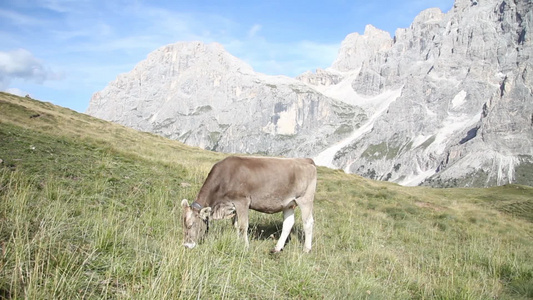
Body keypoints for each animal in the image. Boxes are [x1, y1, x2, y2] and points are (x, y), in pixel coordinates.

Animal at [183, 156, 316, 252]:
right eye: (183, 225)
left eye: (191, 225)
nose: (186, 245)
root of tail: (306, 160)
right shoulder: (233, 205)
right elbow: (236, 225)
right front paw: (237, 242)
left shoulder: (242, 201)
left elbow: (243, 226)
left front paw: (245, 247)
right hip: (289, 204)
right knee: (288, 224)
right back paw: (277, 248)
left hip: (305, 199)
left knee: (308, 222)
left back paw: (306, 249)